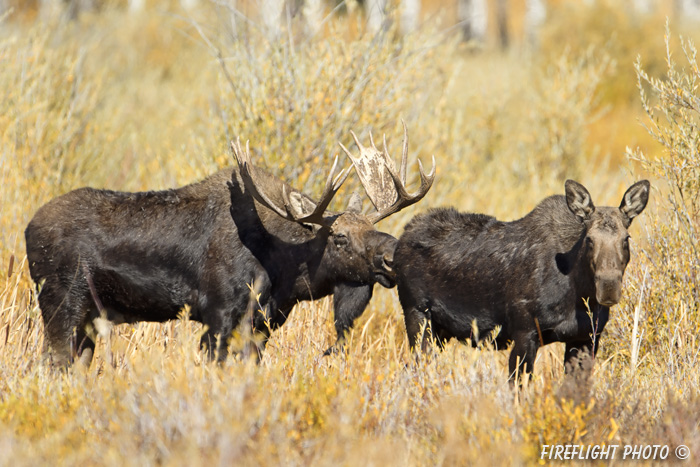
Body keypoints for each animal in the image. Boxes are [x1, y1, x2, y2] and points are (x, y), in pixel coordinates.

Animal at [24, 126, 434, 368]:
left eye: (372, 226)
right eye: (340, 237)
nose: (391, 255)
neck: (284, 267)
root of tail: (28, 230)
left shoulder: (263, 324)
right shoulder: (218, 313)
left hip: (89, 318)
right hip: (61, 303)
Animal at [394, 179, 652, 380]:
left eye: (626, 239)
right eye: (589, 239)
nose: (608, 288)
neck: (578, 295)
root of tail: (401, 238)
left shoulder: (587, 339)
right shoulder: (524, 333)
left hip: (441, 331)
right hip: (417, 315)